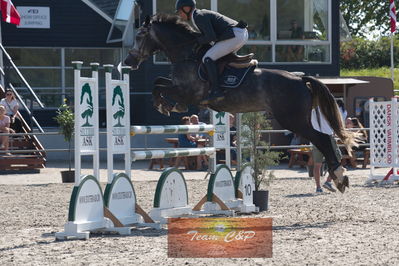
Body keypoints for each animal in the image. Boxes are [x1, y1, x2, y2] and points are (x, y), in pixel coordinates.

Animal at [125, 14, 360, 193]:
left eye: (139, 36)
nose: (128, 62)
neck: (187, 54)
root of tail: (300, 79)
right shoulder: (179, 87)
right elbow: (158, 81)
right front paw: (166, 105)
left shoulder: (187, 93)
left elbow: (159, 87)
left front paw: (165, 106)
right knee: (325, 138)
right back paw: (339, 176)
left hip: (292, 119)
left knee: (321, 138)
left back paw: (339, 175)